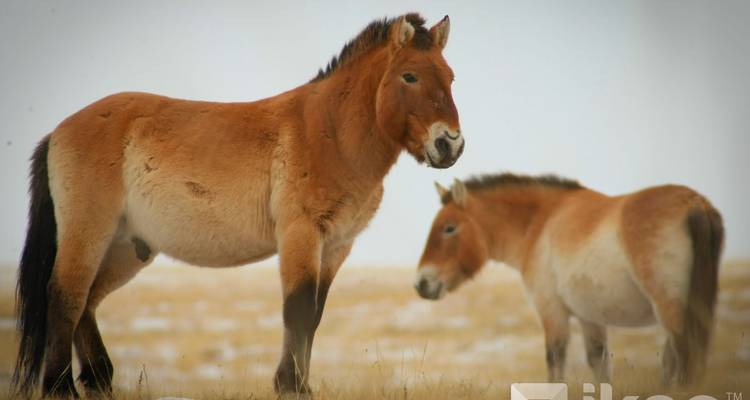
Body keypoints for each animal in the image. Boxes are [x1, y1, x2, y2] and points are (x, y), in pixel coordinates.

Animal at [13, 13, 464, 398]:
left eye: (450, 77)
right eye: (409, 76)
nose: (450, 144)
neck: (330, 133)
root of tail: (58, 131)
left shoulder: (337, 246)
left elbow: (315, 314)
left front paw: (300, 383)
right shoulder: (300, 234)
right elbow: (298, 309)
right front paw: (291, 386)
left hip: (127, 247)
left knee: (87, 301)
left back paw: (99, 380)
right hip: (89, 230)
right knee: (66, 295)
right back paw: (60, 387)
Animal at [415, 173, 723, 385]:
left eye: (449, 228)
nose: (421, 284)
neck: (539, 223)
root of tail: (696, 204)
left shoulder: (553, 312)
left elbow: (555, 364)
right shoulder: (590, 318)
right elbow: (600, 368)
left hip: (670, 309)